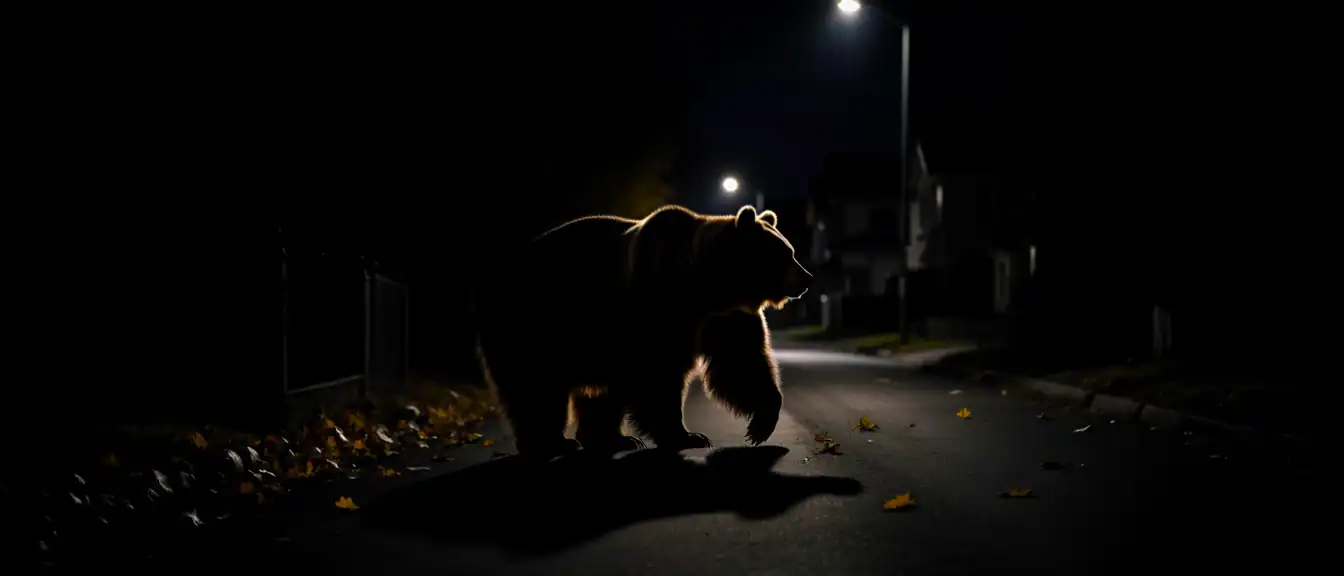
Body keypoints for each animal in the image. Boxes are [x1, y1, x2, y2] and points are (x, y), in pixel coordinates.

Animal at [474, 204, 812, 461]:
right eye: (785, 254)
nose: (807, 278)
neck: (707, 289)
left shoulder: (727, 317)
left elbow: (741, 363)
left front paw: (760, 424)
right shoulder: (656, 311)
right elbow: (658, 375)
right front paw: (686, 435)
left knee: (595, 393)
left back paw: (610, 438)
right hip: (533, 323)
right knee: (537, 387)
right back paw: (551, 442)